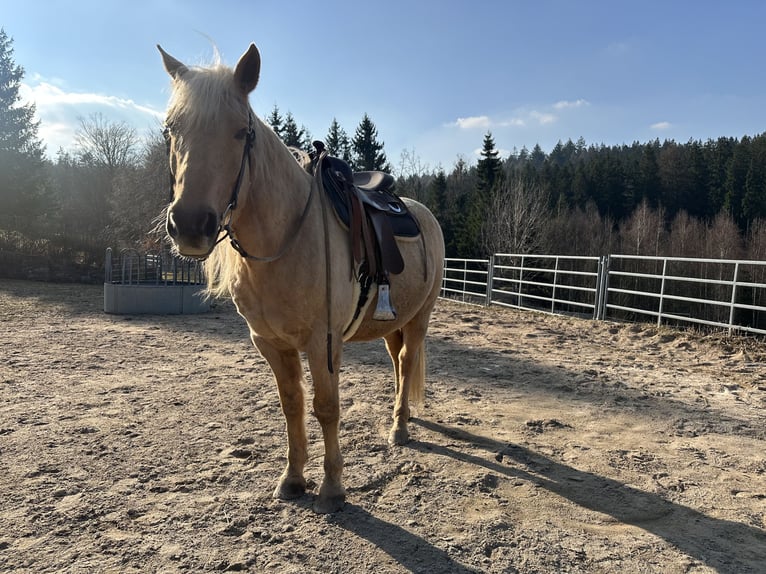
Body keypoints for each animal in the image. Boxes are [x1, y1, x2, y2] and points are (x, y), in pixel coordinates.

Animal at [157, 43, 445, 513]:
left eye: (242, 132)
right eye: (170, 130)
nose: (190, 225)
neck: (286, 237)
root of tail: (422, 213)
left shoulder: (322, 341)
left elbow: (326, 407)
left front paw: (332, 486)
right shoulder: (269, 342)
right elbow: (291, 405)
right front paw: (292, 478)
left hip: (421, 316)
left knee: (407, 360)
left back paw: (400, 428)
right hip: (392, 322)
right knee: (398, 363)